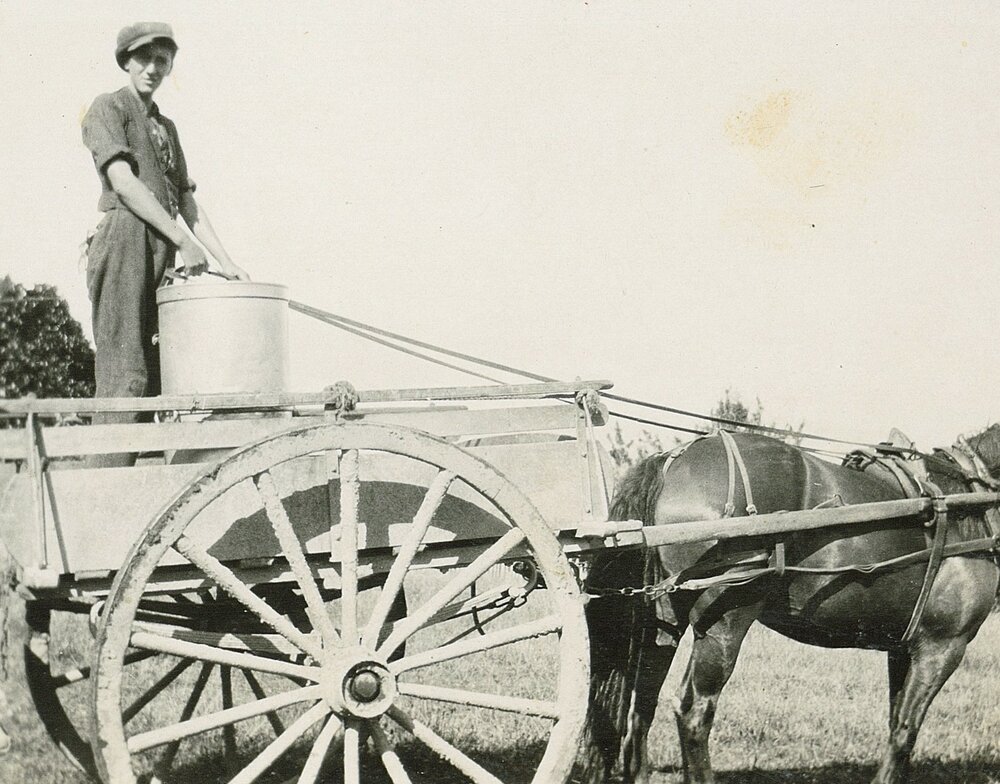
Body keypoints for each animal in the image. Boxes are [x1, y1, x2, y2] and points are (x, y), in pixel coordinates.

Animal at [583, 424, 1000, 784]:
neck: (967, 506)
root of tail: (675, 459)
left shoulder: (902, 649)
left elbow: (896, 722)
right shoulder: (942, 646)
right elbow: (905, 731)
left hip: (664, 618)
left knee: (642, 705)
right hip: (725, 622)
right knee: (693, 712)